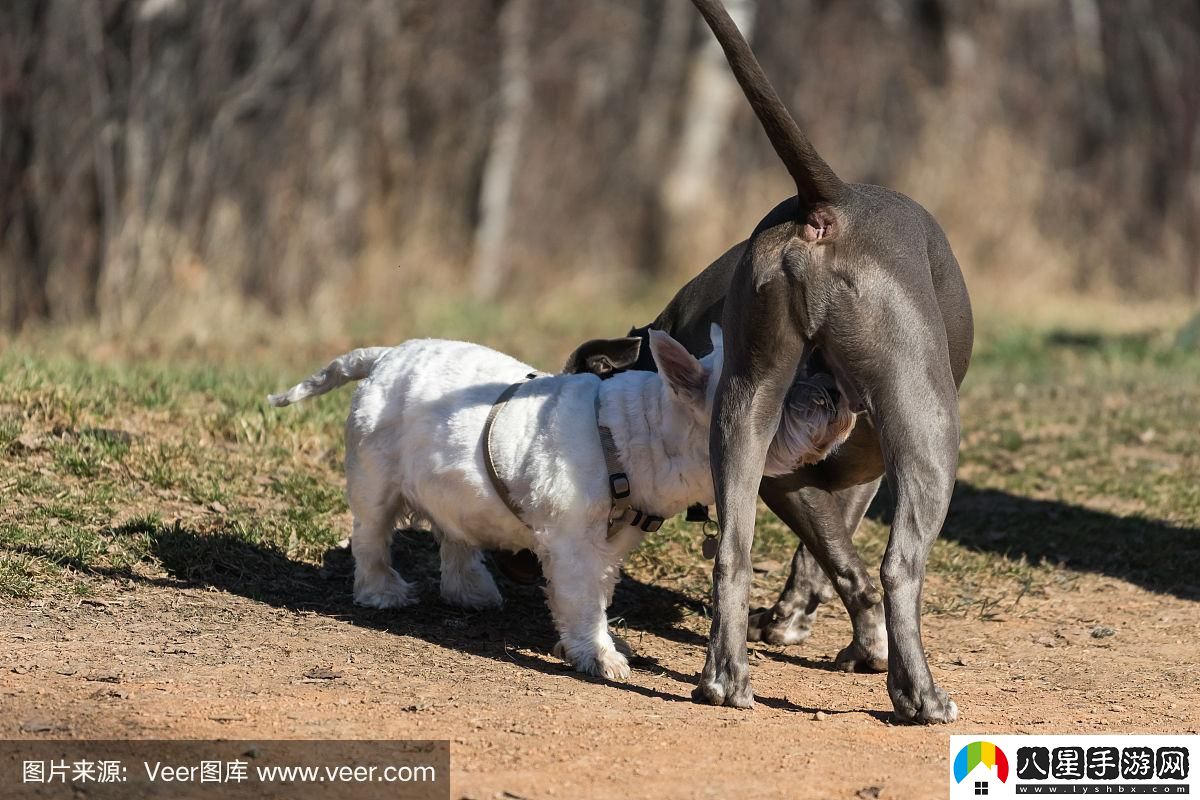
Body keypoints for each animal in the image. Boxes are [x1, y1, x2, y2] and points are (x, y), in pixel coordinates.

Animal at [273, 326, 854, 681]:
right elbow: (582, 601)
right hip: (376, 479)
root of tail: (383, 356)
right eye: (777, 392)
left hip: (449, 485)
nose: (835, 393)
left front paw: (585, 645)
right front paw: (601, 656)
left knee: (454, 531)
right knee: (372, 535)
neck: (640, 431)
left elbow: (592, 597)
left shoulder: (607, 548)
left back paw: (471, 592)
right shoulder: (573, 543)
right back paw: (382, 592)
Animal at [564, 1, 974, 724]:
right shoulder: (824, 468)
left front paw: (801, 621)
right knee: (899, 565)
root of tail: (828, 203)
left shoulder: (832, 470)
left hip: (748, 402)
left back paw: (725, 680)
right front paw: (860, 646)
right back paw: (919, 694)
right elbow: (848, 560)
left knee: (734, 550)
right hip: (926, 427)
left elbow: (830, 552)